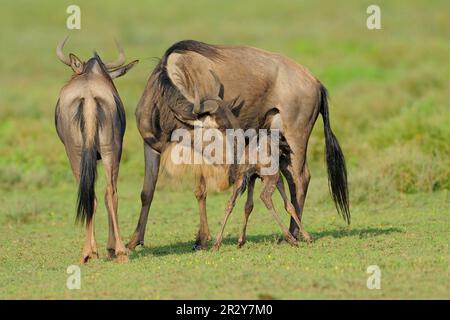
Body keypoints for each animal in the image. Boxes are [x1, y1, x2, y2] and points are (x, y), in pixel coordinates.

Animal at [53, 37, 137, 262]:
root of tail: (89, 98)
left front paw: (96, 250)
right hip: (110, 152)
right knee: (108, 192)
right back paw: (119, 251)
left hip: (77, 154)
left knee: (94, 193)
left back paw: (89, 253)